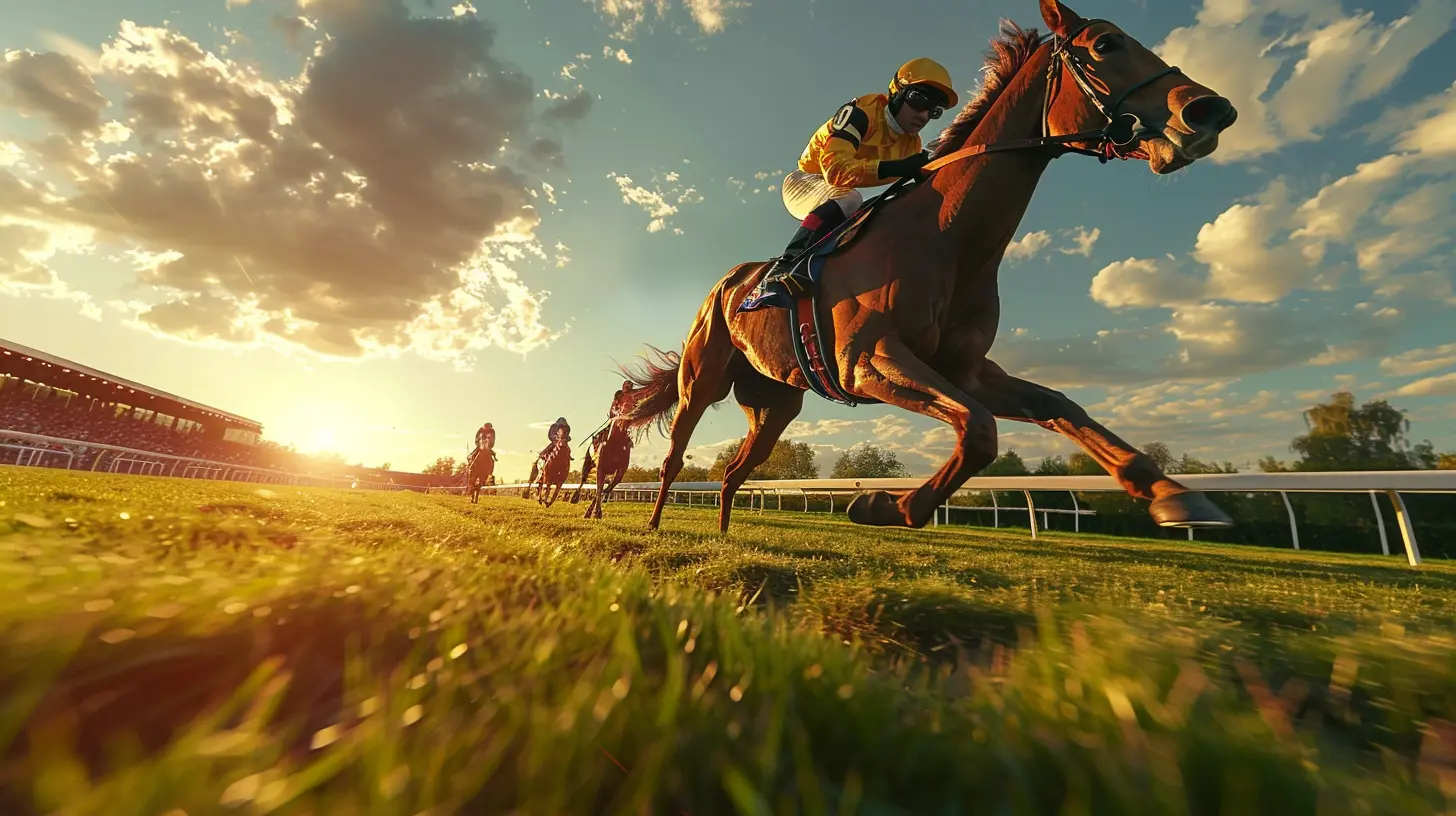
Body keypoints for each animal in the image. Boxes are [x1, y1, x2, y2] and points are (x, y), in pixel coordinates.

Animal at [621, 0, 1241, 535]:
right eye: (1106, 44)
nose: (1211, 110)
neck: (949, 239)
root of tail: (727, 285)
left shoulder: (965, 369)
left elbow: (1056, 405)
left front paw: (1175, 495)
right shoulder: (868, 361)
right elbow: (980, 431)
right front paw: (879, 504)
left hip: (775, 403)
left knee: (733, 472)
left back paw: (725, 533)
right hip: (703, 380)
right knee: (675, 457)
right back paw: (651, 524)